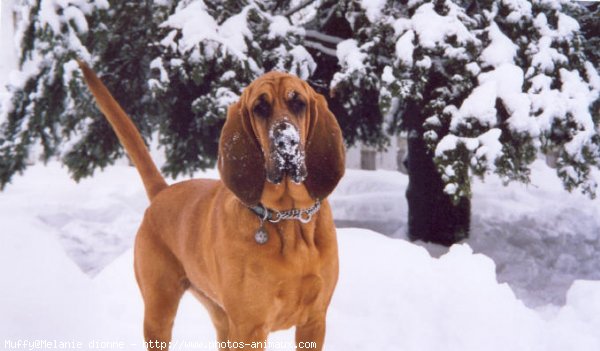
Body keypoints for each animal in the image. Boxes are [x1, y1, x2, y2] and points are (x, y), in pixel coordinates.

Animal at [77, 62, 344, 350]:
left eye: (298, 103)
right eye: (259, 108)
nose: (286, 142)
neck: (288, 219)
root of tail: (163, 192)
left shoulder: (314, 322)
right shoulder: (250, 329)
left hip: (220, 317)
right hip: (159, 312)